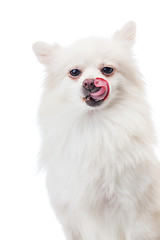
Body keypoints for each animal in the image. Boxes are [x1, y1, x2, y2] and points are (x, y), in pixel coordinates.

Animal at [33, 21, 160, 239]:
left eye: (107, 69)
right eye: (74, 72)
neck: (94, 127)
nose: (90, 82)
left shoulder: (137, 213)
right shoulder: (71, 219)